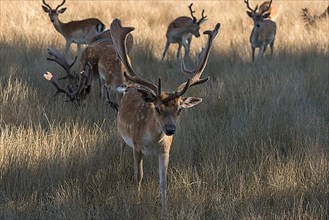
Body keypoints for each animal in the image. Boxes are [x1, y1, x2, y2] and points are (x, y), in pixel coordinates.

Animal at [109, 18, 220, 217]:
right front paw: (137, 203)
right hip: (121, 133)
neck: (153, 141)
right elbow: (138, 176)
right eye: (157, 108)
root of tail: (130, 86)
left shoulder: (166, 150)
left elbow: (163, 182)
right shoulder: (137, 146)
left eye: (179, 109)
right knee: (121, 147)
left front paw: (164, 210)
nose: (170, 129)